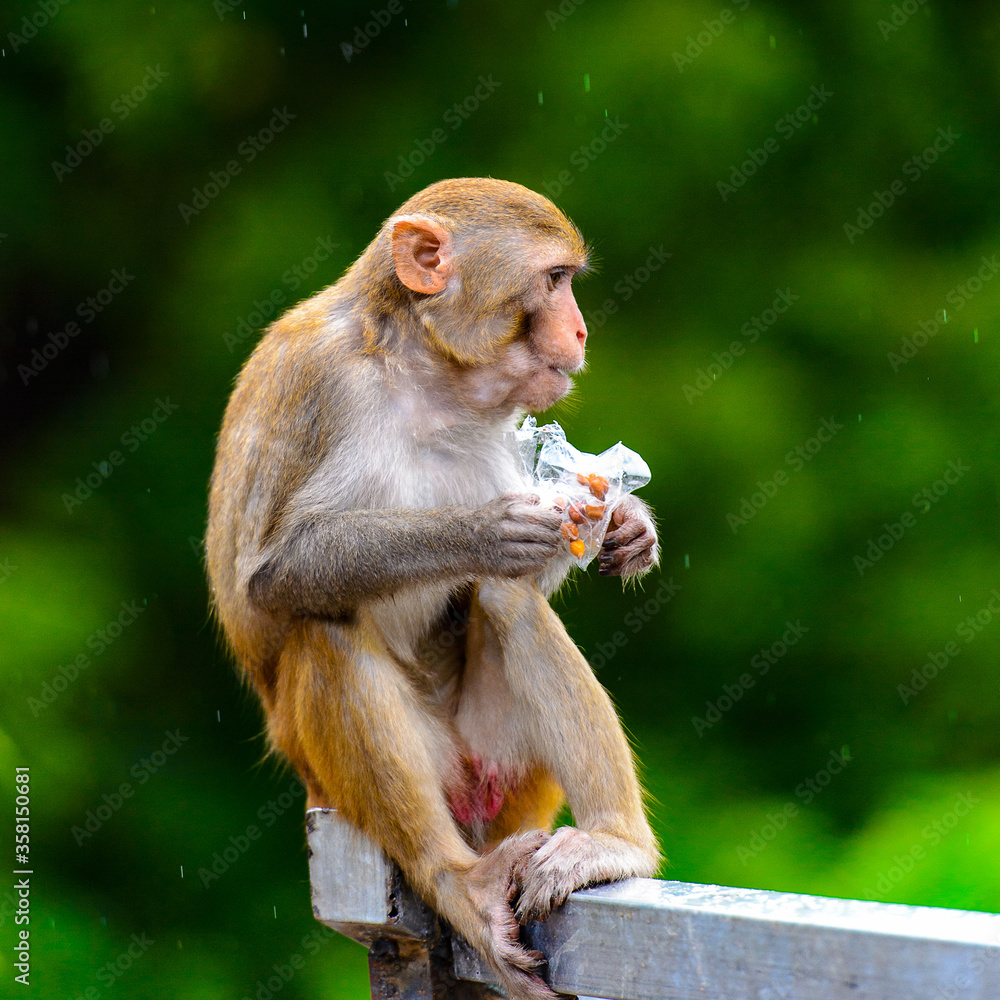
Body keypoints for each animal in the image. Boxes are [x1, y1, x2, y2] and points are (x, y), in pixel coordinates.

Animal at [206, 177, 660, 1000]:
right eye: (555, 279)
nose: (579, 331)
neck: (422, 371)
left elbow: (535, 568)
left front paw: (625, 524)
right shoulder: (317, 380)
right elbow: (266, 579)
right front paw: (484, 531)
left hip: (510, 772)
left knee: (507, 602)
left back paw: (614, 842)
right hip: (337, 775)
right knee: (324, 627)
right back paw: (454, 877)